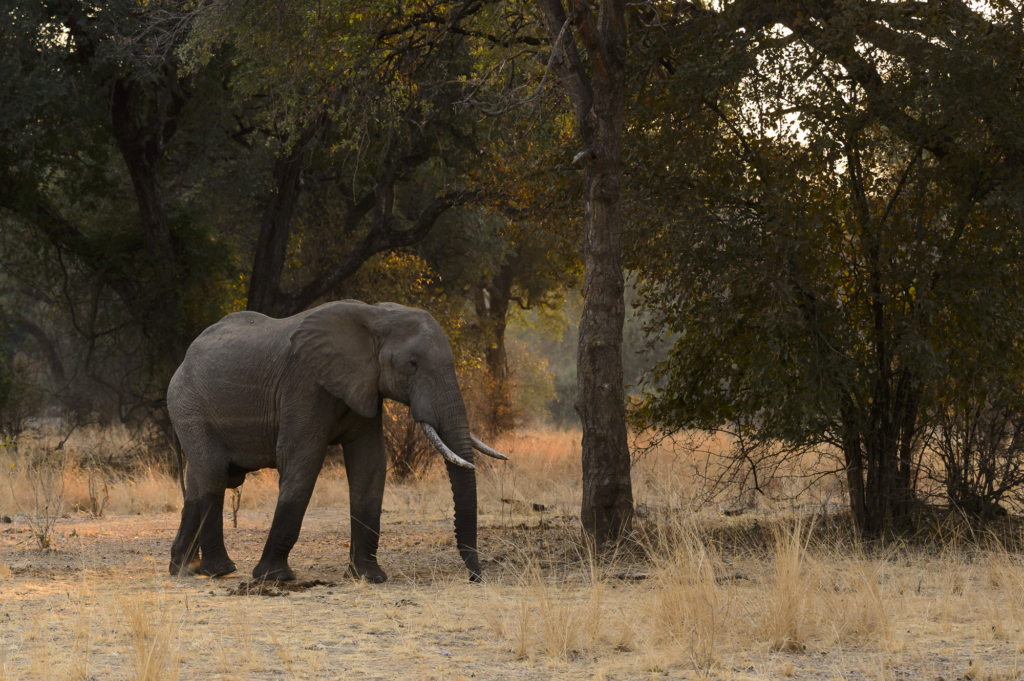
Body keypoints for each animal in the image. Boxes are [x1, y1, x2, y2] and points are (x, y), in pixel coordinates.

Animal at [165, 301, 509, 581]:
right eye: (412, 364)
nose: (475, 578)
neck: (374, 316)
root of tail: (180, 364)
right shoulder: (304, 385)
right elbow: (301, 461)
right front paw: (275, 577)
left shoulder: (365, 386)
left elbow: (370, 465)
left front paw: (368, 577)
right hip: (188, 406)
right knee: (213, 475)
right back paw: (219, 571)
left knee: (199, 480)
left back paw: (184, 570)